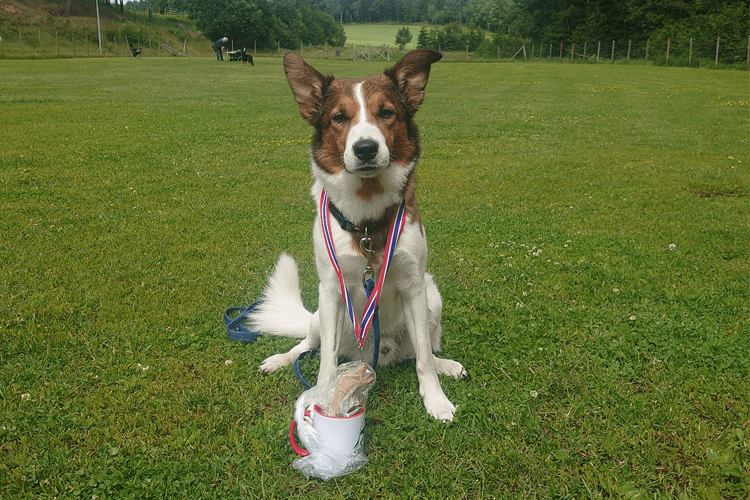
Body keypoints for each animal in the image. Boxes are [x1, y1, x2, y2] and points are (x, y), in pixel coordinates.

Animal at [250, 48, 468, 420]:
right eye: (339, 117)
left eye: (386, 113)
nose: (365, 148)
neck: (366, 221)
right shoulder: (331, 289)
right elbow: (325, 361)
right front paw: (322, 398)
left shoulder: (414, 285)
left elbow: (424, 358)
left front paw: (436, 398)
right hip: (319, 316)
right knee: (308, 345)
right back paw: (281, 359)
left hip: (432, 297)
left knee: (420, 350)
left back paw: (445, 365)